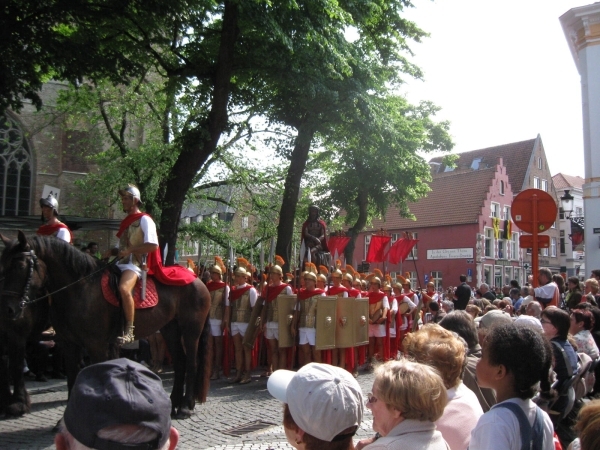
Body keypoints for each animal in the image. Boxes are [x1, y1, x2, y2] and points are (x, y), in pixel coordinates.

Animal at [0, 232, 212, 418]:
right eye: (3, 265)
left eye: (20, 265)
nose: (8, 309)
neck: (79, 288)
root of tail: (198, 280)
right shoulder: (69, 344)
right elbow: (72, 378)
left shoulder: (96, 345)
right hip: (170, 329)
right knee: (180, 362)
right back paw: (174, 403)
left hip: (191, 330)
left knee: (191, 362)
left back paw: (185, 407)